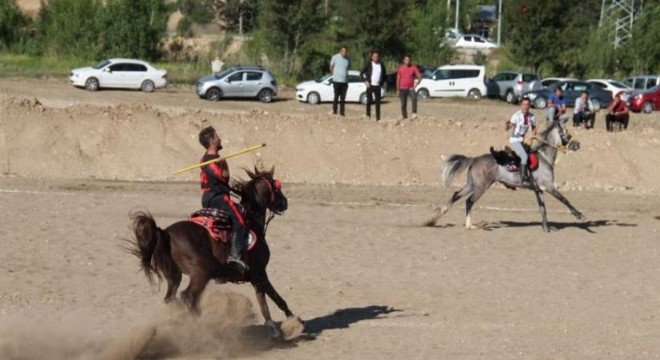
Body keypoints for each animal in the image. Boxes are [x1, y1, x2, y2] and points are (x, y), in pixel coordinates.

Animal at [127, 167, 298, 338]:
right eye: (277, 187)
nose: (285, 202)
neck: (252, 222)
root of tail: (165, 233)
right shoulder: (260, 273)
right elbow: (275, 299)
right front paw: (294, 324)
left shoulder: (256, 277)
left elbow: (267, 303)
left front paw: (278, 327)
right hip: (201, 273)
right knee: (189, 297)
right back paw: (205, 330)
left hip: (174, 276)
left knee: (171, 298)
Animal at [428, 124, 584, 232]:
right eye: (567, 132)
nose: (577, 144)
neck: (544, 158)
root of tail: (474, 159)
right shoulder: (549, 186)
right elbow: (564, 199)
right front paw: (579, 215)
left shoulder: (539, 190)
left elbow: (543, 208)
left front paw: (546, 227)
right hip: (482, 186)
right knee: (469, 201)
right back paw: (470, 225)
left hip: (472, 184)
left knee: (456, 195)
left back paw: (437, 217)